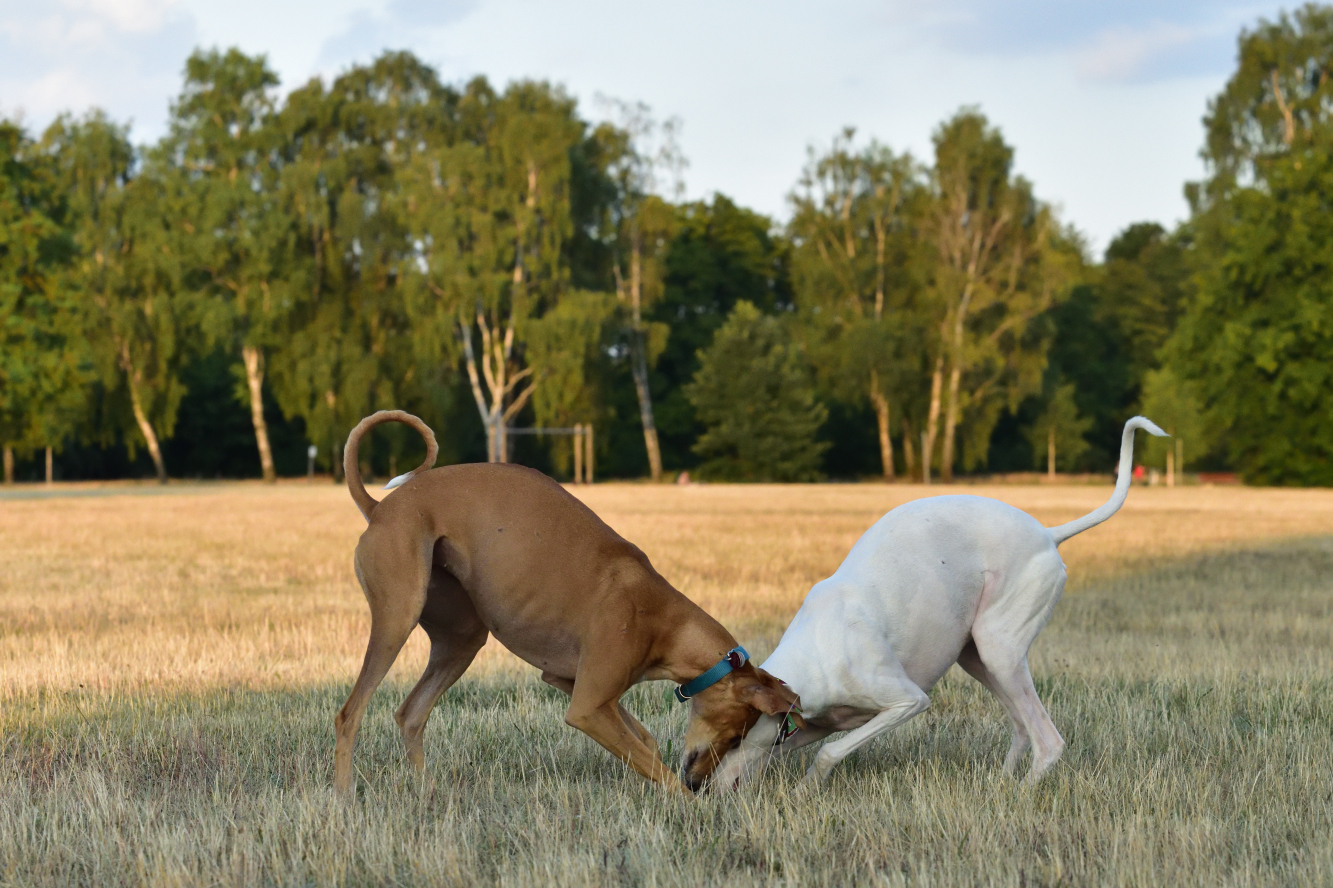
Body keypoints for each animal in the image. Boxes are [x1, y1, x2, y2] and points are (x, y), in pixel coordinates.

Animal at [333, 410, 799, 789]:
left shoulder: (575, 684)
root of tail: (379, 508)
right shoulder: (587, 707)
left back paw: (427, 792)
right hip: (398, 617)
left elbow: (645, 742)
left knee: (411, 713)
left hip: (462, 636)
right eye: (735, 735)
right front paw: (690, 805)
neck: (666, 619)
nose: (701, 783)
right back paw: (344, 799)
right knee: (349, 714)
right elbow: (658, 768)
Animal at [714, 413, 1162, 784]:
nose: (700, 787)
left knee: (1048, 741)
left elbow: (828, 753)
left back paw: (1021, 794)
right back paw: (1000, 785)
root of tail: (1048, 534)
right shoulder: (822, 723)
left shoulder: (907, 701)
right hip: (977, 657)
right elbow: (792, 750)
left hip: (999, 650)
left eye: (729, 740)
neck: (812, 653)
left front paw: (806, 787)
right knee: (1021, 728)